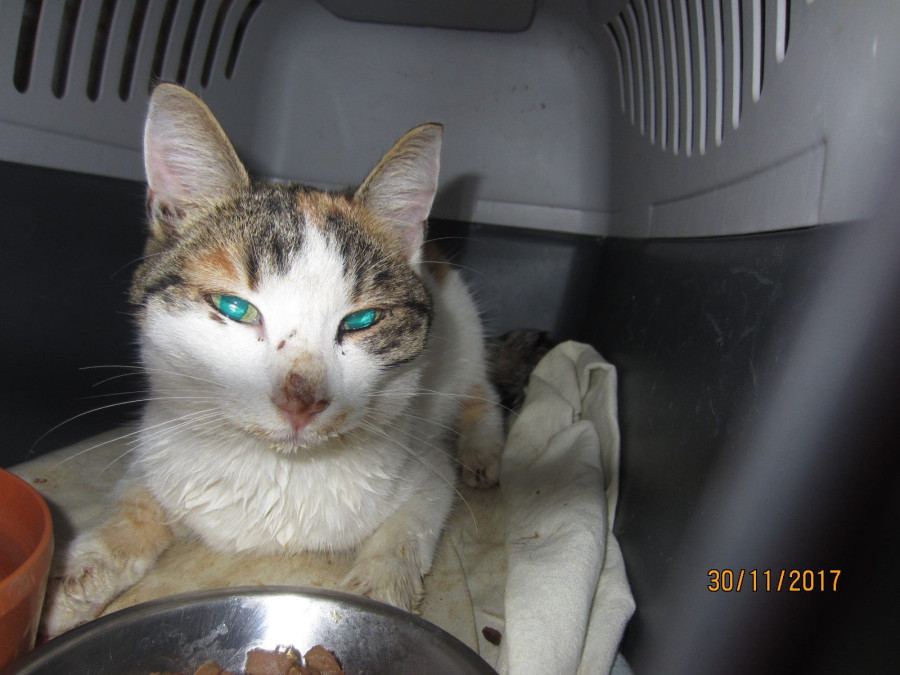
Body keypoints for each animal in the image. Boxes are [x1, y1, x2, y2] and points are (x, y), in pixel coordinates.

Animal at [41, 83, 505, 637]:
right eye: (234, 308)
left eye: (362, 320)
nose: (301, 400)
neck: (273, 470)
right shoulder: (159, 452)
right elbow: (133, 507)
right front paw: (74, 578)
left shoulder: (425, 468)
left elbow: (406, 532)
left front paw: (379, 591)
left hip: (465, 338)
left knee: (482, 394)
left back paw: (482, 452)